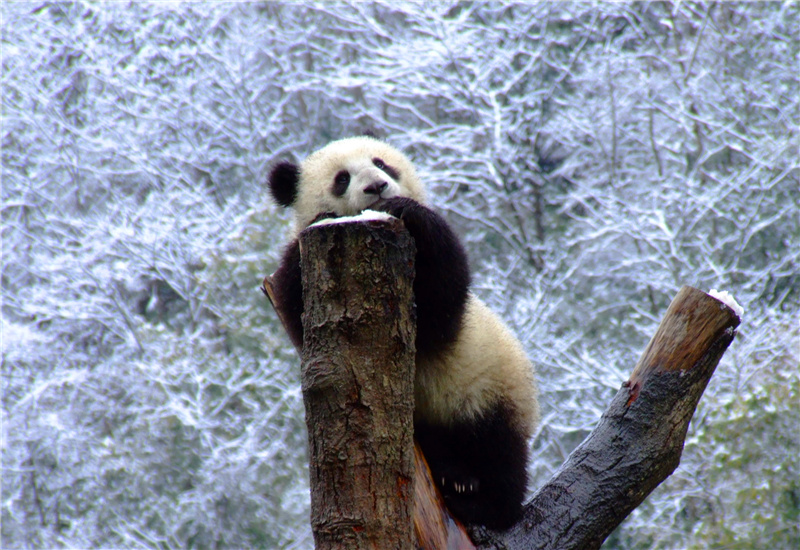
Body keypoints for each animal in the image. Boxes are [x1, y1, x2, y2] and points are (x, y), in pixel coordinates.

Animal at [268, 136, 539, 530]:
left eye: (382, 164)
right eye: (341, 179)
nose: (377, 186)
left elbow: (444, 297)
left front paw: (405, 208)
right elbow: (297, 308)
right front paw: (325, 218)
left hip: (494, 389)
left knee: (499, 451)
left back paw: (477, 498)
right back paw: (457, 479)